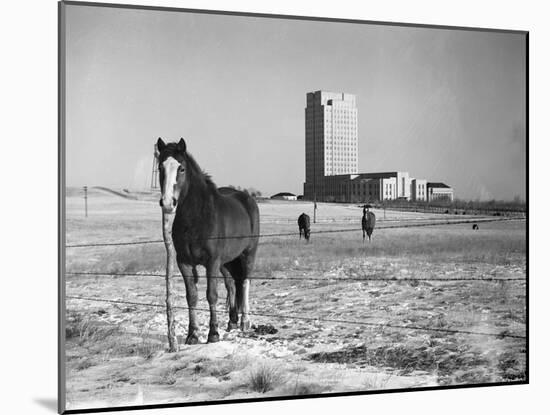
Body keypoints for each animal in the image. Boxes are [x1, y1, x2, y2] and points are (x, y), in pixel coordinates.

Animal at [155, 138, 258, 346]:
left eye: (181, 168)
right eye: (161, 167)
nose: (168, 203)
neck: (197, 218)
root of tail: (248, 199)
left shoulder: (212, 262)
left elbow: (211, 295)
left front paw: (213, 334)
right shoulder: (184, 263)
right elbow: (192, 297)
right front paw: (192, 335)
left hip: (248, 254)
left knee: (245, 282)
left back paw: (245, 322)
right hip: (227, 262)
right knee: (231, 284)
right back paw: (232, 322)